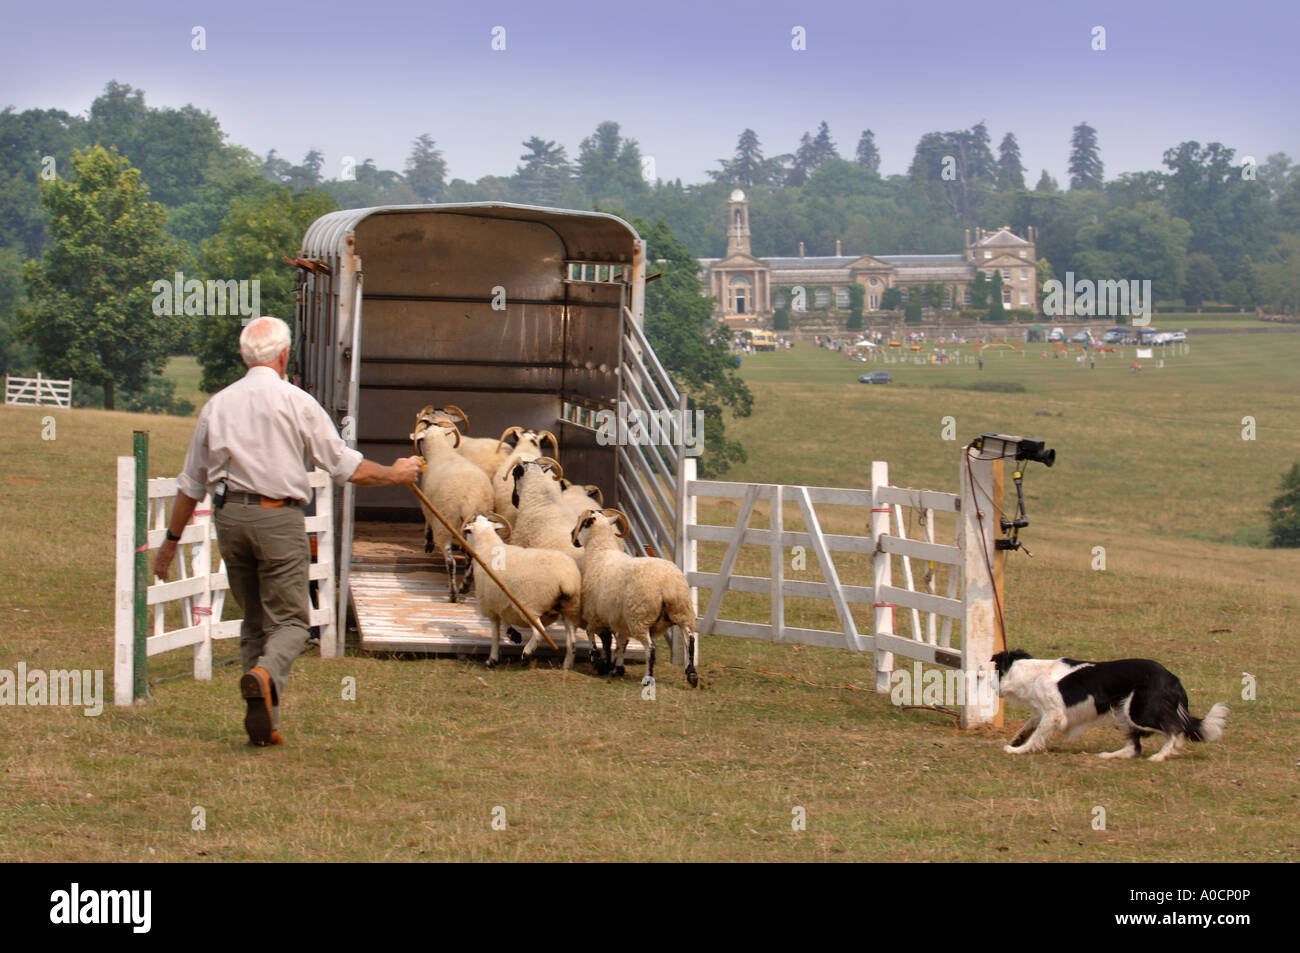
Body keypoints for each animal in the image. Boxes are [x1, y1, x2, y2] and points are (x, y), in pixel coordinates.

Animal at [410, 418, 491, 603]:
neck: (440, 451)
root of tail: (468, 500)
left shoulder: (429, 506)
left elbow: (427, 524)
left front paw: (428, 544)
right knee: (473, 557)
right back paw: (465, 586)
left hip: (444, 526)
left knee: (451, 562)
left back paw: (454, 593)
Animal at [457, 512, 579, 670]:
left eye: (468, 532)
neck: (487, 547)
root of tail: (565, 580)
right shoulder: (502, 600)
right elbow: (505, 620)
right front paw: (513, 634)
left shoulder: (491, 607)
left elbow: (495, 635)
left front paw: (492, 659)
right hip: (569, 609)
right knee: (572, 641)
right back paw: (566, 666)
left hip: (529, 606)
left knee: (540, 633)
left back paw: (526, 655)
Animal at [566, 509, 696, 686]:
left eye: (583, 524)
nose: (572, 536)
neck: (600, 551)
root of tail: (666, 584)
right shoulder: (619, 619)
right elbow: (621, 643)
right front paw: (617, 668)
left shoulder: (595, 615)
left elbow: (591, 634)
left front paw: (597, 660)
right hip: (682, 611)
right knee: (689, 639)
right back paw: (692, 674)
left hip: (640, 617)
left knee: (650, 648)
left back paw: (649, 678)